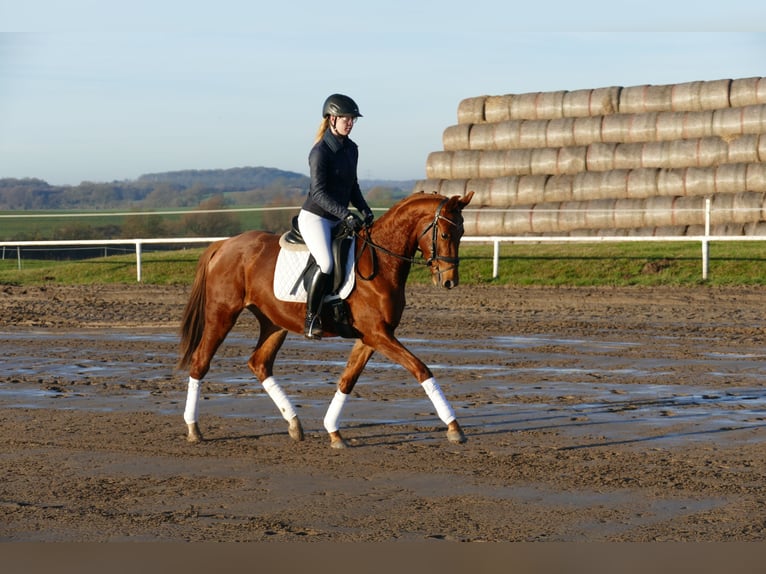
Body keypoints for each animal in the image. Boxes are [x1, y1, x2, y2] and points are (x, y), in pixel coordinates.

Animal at [177, 190, 474, 448]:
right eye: (445, 233)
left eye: (462, 233)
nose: (450, 281)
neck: (380, 261)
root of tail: (224, 244)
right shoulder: (378, 334)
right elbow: (421, 369)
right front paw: (454, 427)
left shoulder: (371, 337)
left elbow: (347, 380)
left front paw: (334, 432)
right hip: (222, 314)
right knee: (200, 361)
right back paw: (193, 428)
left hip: (275, 322)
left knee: (259, 363)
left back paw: (294, 423)